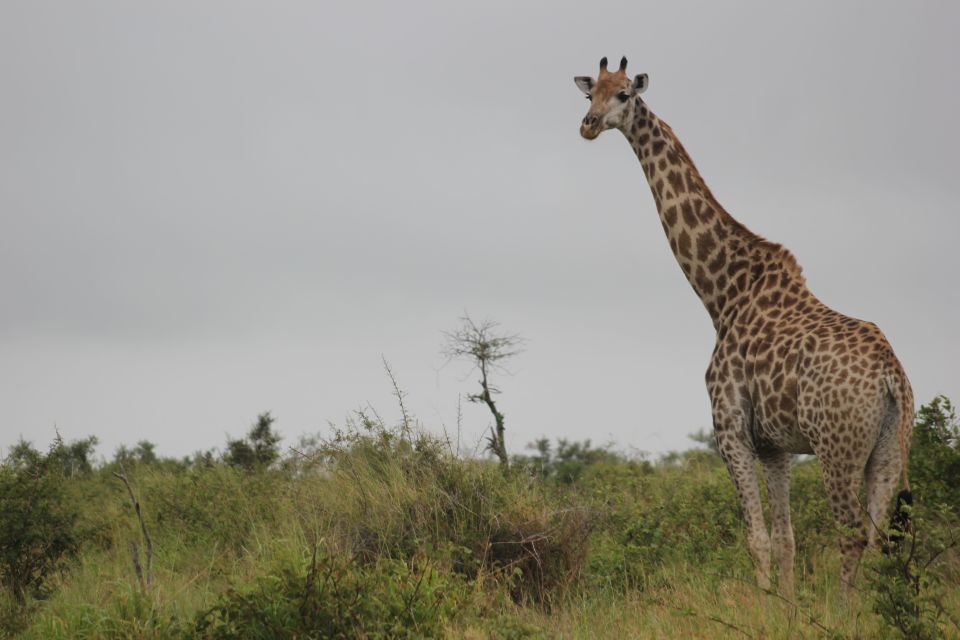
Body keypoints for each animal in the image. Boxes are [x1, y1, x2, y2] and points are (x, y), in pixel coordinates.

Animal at [572, 57, 912, 596]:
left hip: (836, 447)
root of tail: (891, 376)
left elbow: (756, 539)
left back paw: (843, 609)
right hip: (889, 449)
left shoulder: (729, 429)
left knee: (852, 532)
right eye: (590, 94)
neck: (722, 294)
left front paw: (764, 603)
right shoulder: (775, 446)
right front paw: (788, 606)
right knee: (881, 538)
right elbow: (787, 539)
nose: (587, 126)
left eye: (624, 94)